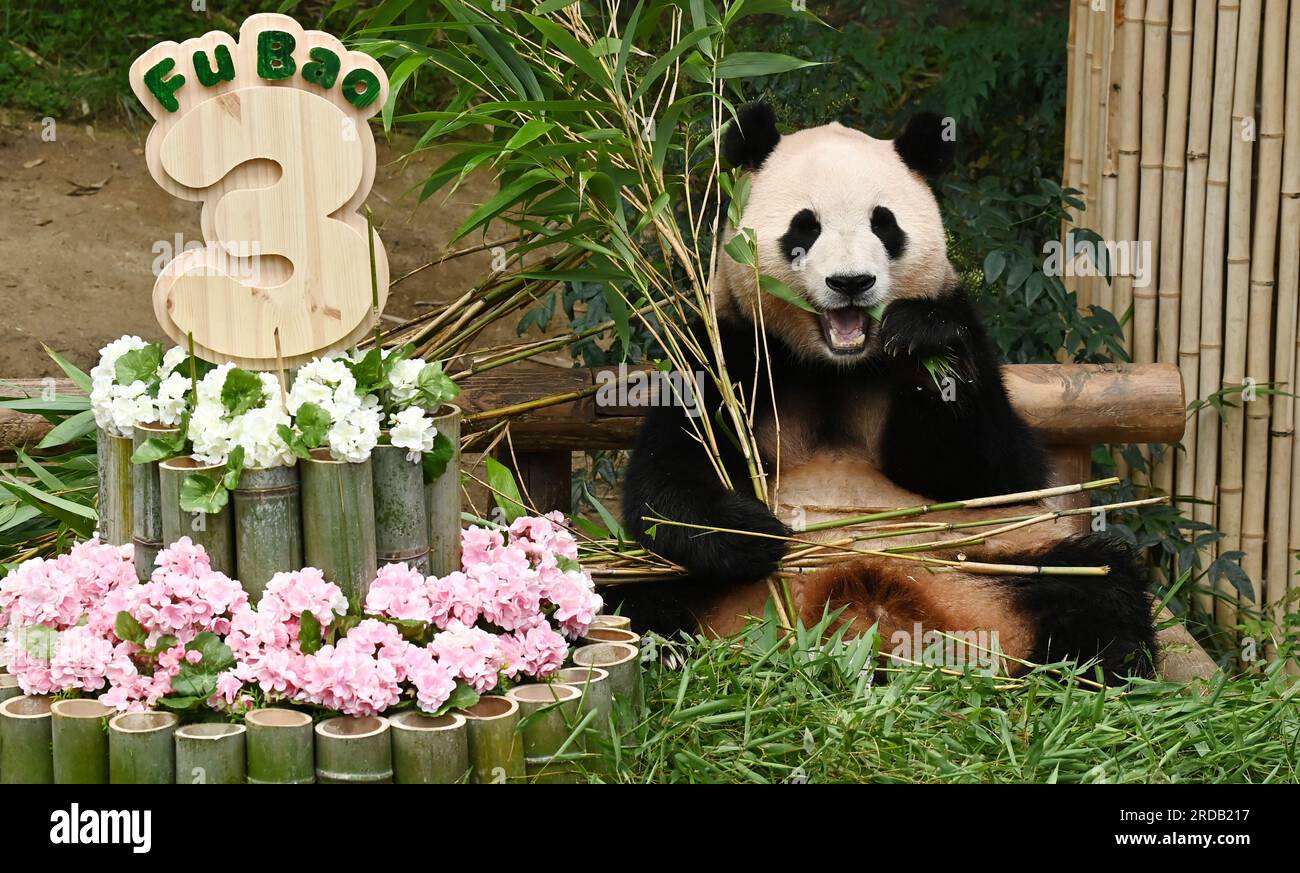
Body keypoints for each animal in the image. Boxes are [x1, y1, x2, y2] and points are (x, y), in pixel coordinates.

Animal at [617, 103, 1157, 683]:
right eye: (804, 227)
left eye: (884, 223)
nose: (850, 282)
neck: (836, 367)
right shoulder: (724, 349)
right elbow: (667, 477)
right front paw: (754, 532)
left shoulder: (964, 330)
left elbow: (995, 471)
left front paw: (923, 338)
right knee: (627, 595)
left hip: (990, 566)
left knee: (1100, 582)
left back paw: (1094, 670)